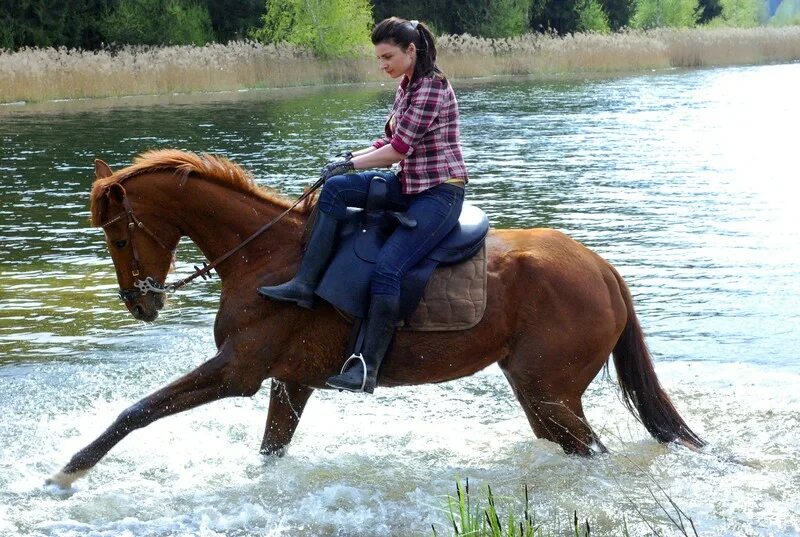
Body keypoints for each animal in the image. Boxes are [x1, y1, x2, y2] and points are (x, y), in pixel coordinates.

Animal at [47, 150, 704, 486]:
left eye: (117, 236)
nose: (141, 303)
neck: (266, 255)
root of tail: (602, 270)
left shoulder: (238, 371)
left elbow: (137, 412)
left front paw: (71, 470)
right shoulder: (291, 381)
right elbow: (270, 449)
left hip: (551, 393)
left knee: (591, 451)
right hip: (541, 396)